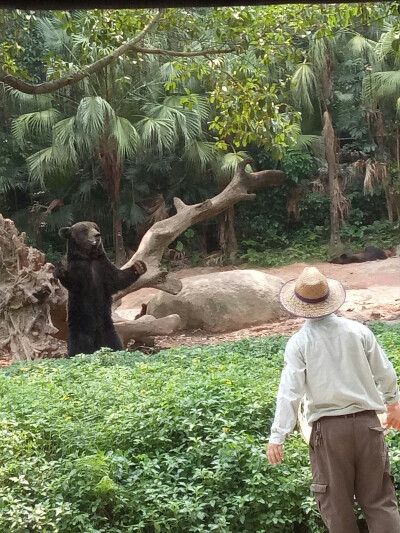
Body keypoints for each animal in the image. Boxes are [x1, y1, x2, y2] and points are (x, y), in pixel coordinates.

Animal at [53, 220, 147, 358]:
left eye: (95, 227)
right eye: (84, 230)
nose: (97, 235)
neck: (89, 258)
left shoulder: (102, 268)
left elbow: (118, 279)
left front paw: (139, 266)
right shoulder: (81, 270)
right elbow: (74, 282)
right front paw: (60, 270)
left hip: (108, 328)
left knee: (114, 344)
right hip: (80, 323)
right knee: (79, 346)